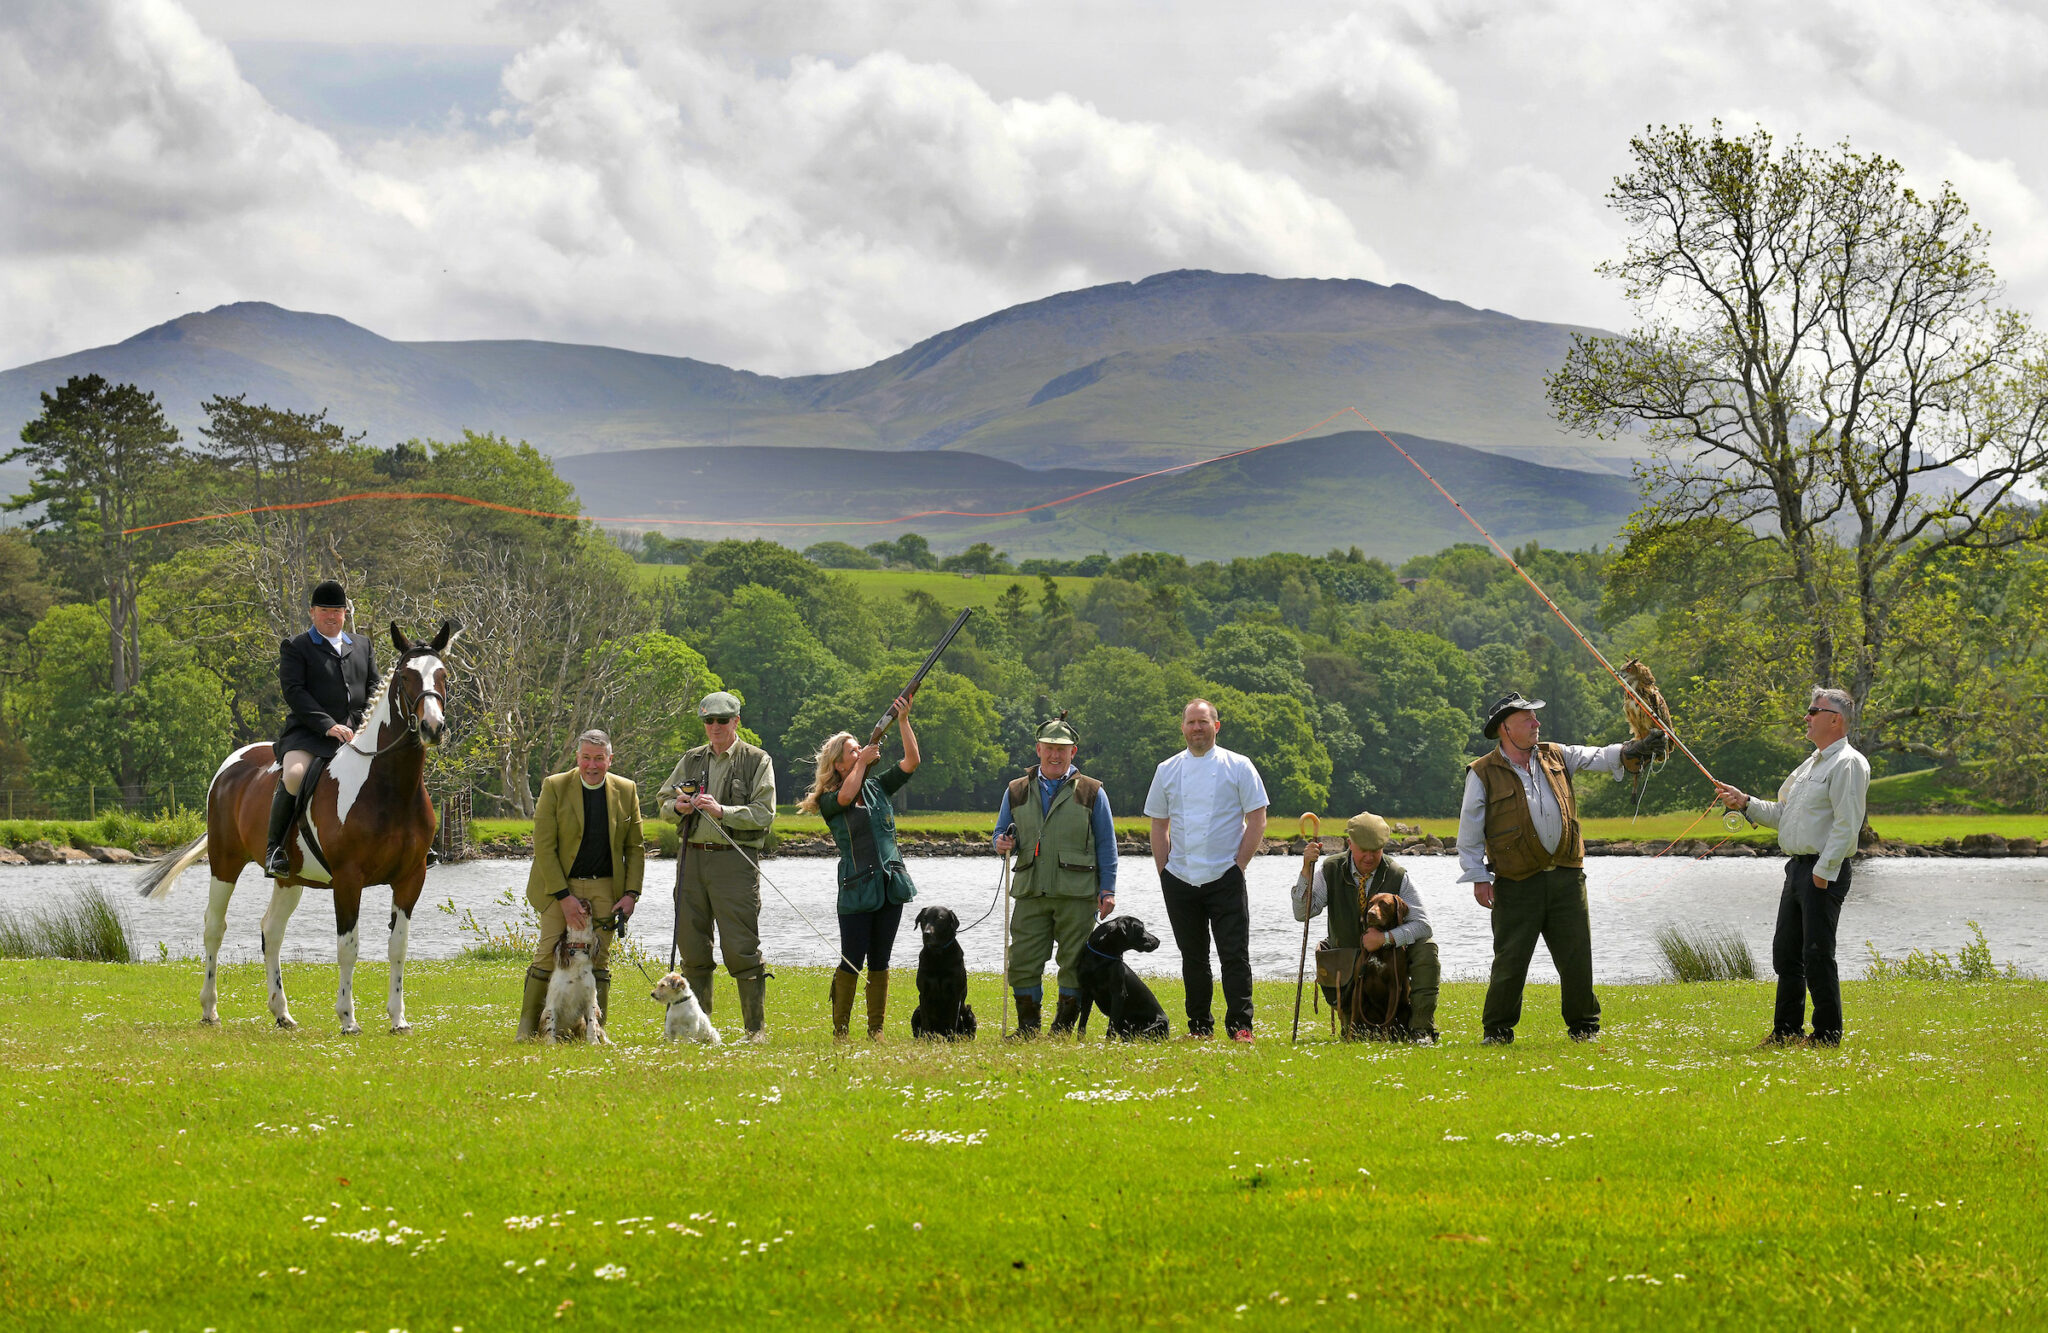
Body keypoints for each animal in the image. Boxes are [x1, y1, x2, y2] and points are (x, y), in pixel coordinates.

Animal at [141, 622, 464, 1036]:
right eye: (406, 677)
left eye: (443, 675)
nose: (432, 727)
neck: (389, 786)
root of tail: (233, 763)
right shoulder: (348, 879)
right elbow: (348, 947)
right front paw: (348, 1019)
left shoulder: (411, 878)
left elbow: (398, 947)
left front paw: (398, 1018)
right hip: (224, 863)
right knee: (214, 926)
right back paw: (210, 1009)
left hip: (290, 879)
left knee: (271, 930)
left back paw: (281, 1012)